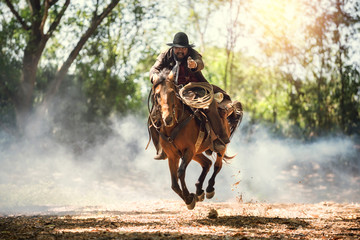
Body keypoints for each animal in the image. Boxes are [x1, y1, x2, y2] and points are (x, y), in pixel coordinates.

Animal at [149, 68, 242, 209]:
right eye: (157, 94)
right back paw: (199, 191)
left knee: (217, 165)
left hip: (218, 147)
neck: (174, 126)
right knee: (207, 163)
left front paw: (189, 198)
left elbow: (181, 172)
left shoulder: (188, 150)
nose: (168, 118)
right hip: (197, 152)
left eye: (172, 93)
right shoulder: (172, 155)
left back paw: (209, 189)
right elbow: (174, 184)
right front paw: (190, 198)